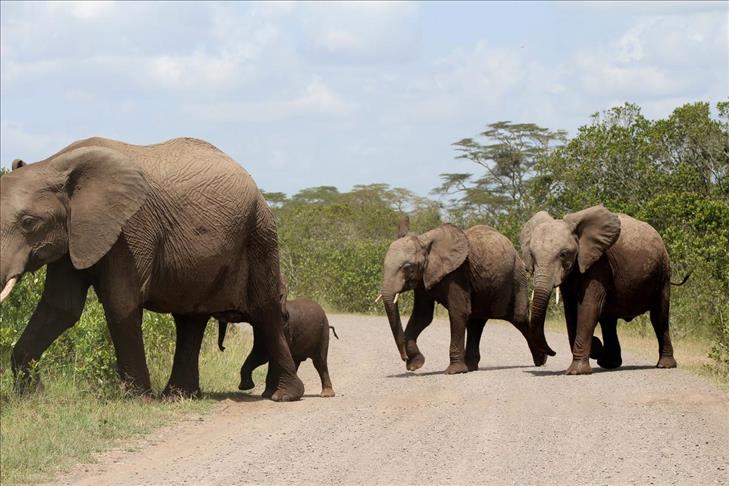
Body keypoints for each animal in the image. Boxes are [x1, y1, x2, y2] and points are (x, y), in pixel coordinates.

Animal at [0, 138, 304, 402]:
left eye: (28, 222)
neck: (54, 163)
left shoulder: (130, 231)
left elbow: (120, 303)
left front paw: (138, 399)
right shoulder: (73, 237)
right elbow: (60, 308)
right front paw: (32, 396)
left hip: (260, 234)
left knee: (264, 310)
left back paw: (283, 396)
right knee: (190, 319)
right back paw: (179, 396)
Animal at [376, 218, 552, 374]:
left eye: (407, 267)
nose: (404, 358)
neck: (425, 240)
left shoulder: (458, 274)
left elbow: (457, 312)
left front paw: (453, 371)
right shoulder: (424, 280)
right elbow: (422, 317)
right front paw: (416, 365)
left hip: (517, 277)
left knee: (519, 318)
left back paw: (540, 360)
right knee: (476, 322)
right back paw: (471, 367)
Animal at [520, 203, 684, 374]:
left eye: (564, 254)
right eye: (532, 255)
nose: (553, 353)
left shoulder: (599, 264)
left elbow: (588, 307)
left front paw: (578, 370)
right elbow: (570, 312)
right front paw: (597, 349)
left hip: (663, 272)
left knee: (659, 317)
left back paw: (665, 365)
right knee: (608, 320)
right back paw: (609, 363)